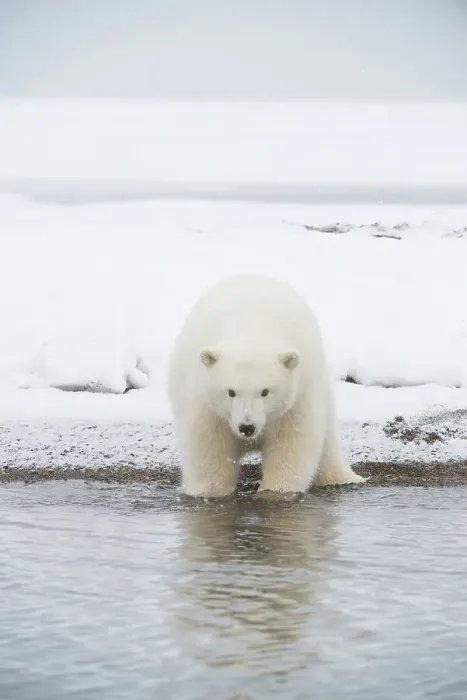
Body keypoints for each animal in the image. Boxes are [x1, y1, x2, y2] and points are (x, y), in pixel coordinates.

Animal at [168, 274, 364, 497]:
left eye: (265, 391)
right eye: (231, 392)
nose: (247, 427)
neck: (252, 328)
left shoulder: (295, 399)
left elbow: (291, 445)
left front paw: (274, 491)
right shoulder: (209, 406)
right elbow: (211, 448)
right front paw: (209, 491)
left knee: (327, 439)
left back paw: (342, 478)